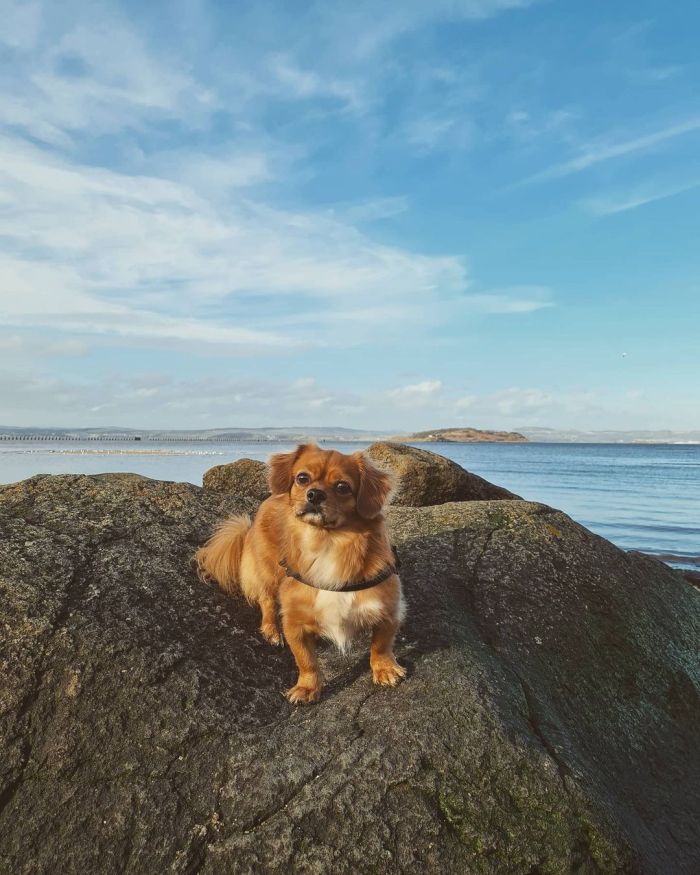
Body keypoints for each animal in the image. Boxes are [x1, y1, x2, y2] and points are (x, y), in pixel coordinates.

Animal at [196, 444, 404, 704]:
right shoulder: (294, 623)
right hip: (267, 572)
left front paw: (384, 669)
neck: (327, 542)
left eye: (342, 487)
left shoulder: (388, 610)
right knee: (266, 600)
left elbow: (381, 645)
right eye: (303, 478)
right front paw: (307, 688)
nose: (314, 494)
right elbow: (306, 661)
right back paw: (271, 630)